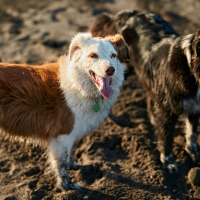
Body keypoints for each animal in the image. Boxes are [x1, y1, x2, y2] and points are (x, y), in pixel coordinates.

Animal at [0, 33, 129, 191]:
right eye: (93, 55)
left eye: (113, 55)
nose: (110, 70)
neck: (78, 84)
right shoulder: (62, 136)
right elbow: (62, 164)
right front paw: (68, 187)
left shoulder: (75, 132)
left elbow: (72, 153)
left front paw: (73, 166)